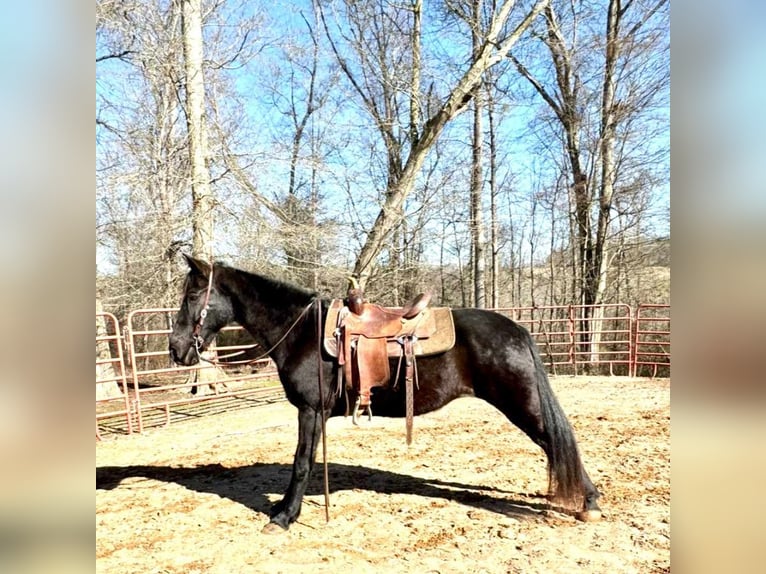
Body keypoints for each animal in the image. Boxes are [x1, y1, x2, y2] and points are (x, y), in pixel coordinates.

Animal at [170, 256, 608, 536]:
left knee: (557, 441)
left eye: (192, 296)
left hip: (523, 404)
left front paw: (283, 517)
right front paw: (283, 509)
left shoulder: (310, 411)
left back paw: (588, 503)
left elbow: (300, 464)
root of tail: (516, 329)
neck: (301, 331)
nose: (176, 349)